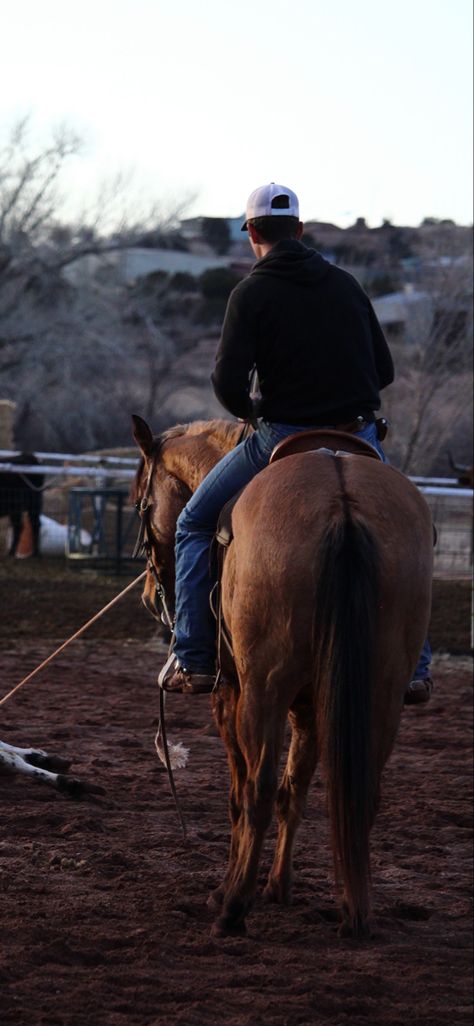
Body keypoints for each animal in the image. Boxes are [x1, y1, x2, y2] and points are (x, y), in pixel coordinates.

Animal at [130, 414, 432, 939]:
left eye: (142, 504)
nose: (150, 597)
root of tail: (342, 503)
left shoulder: (230, 695)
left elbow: (242, 794)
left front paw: (228, 890)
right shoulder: (311, 705)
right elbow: (297, 790)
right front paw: (279, 886)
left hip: (263, 691)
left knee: (258, 789)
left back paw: (232, 909)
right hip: (381, 693)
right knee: (359, 793)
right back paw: (355, 912)